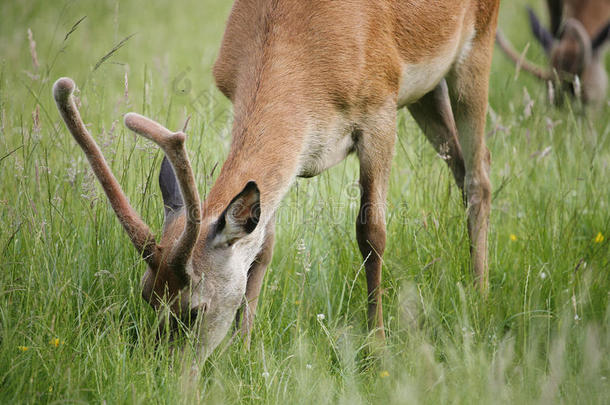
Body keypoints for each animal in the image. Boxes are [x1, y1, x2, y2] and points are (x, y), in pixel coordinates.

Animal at [53, 0, 498, 360]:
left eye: (194, 308)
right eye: (147, 294)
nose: (162, 365)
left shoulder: (380, 109)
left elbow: (371, 232)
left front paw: (378, 347)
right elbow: (262, 247)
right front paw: (244, 348)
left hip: (478, 41)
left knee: (479, 175)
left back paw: (480, 296)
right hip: (427, 89)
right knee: (462, 166)